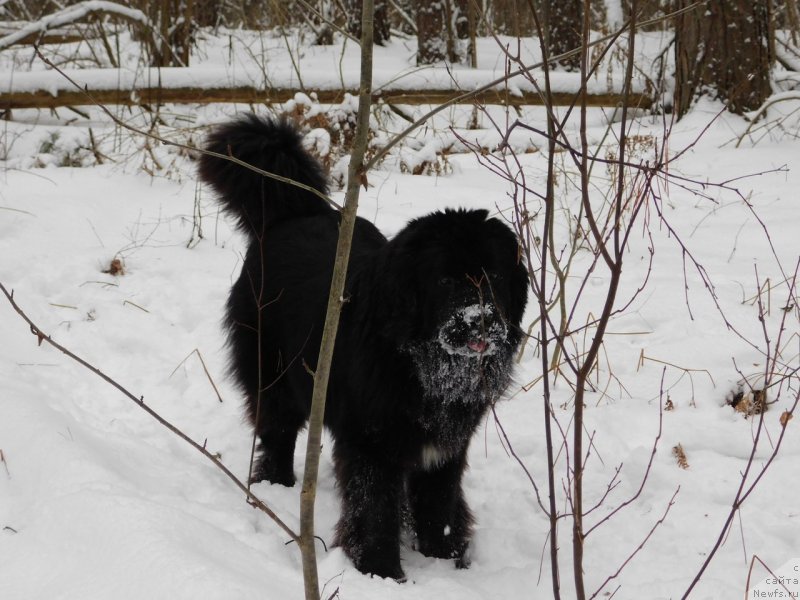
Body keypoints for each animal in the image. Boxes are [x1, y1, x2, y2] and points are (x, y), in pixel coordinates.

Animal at [197, 115, 528, 580]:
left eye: (494, 276)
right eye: (445, 280)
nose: (479, 318)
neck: (419, 365)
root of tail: (298, 212)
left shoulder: (446, 448)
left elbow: (438, 505)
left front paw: (443, 559)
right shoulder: (372, 444)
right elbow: (375, 510)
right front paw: (381, 571)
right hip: (273, 372)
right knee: (277, 431)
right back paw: (276, 487)